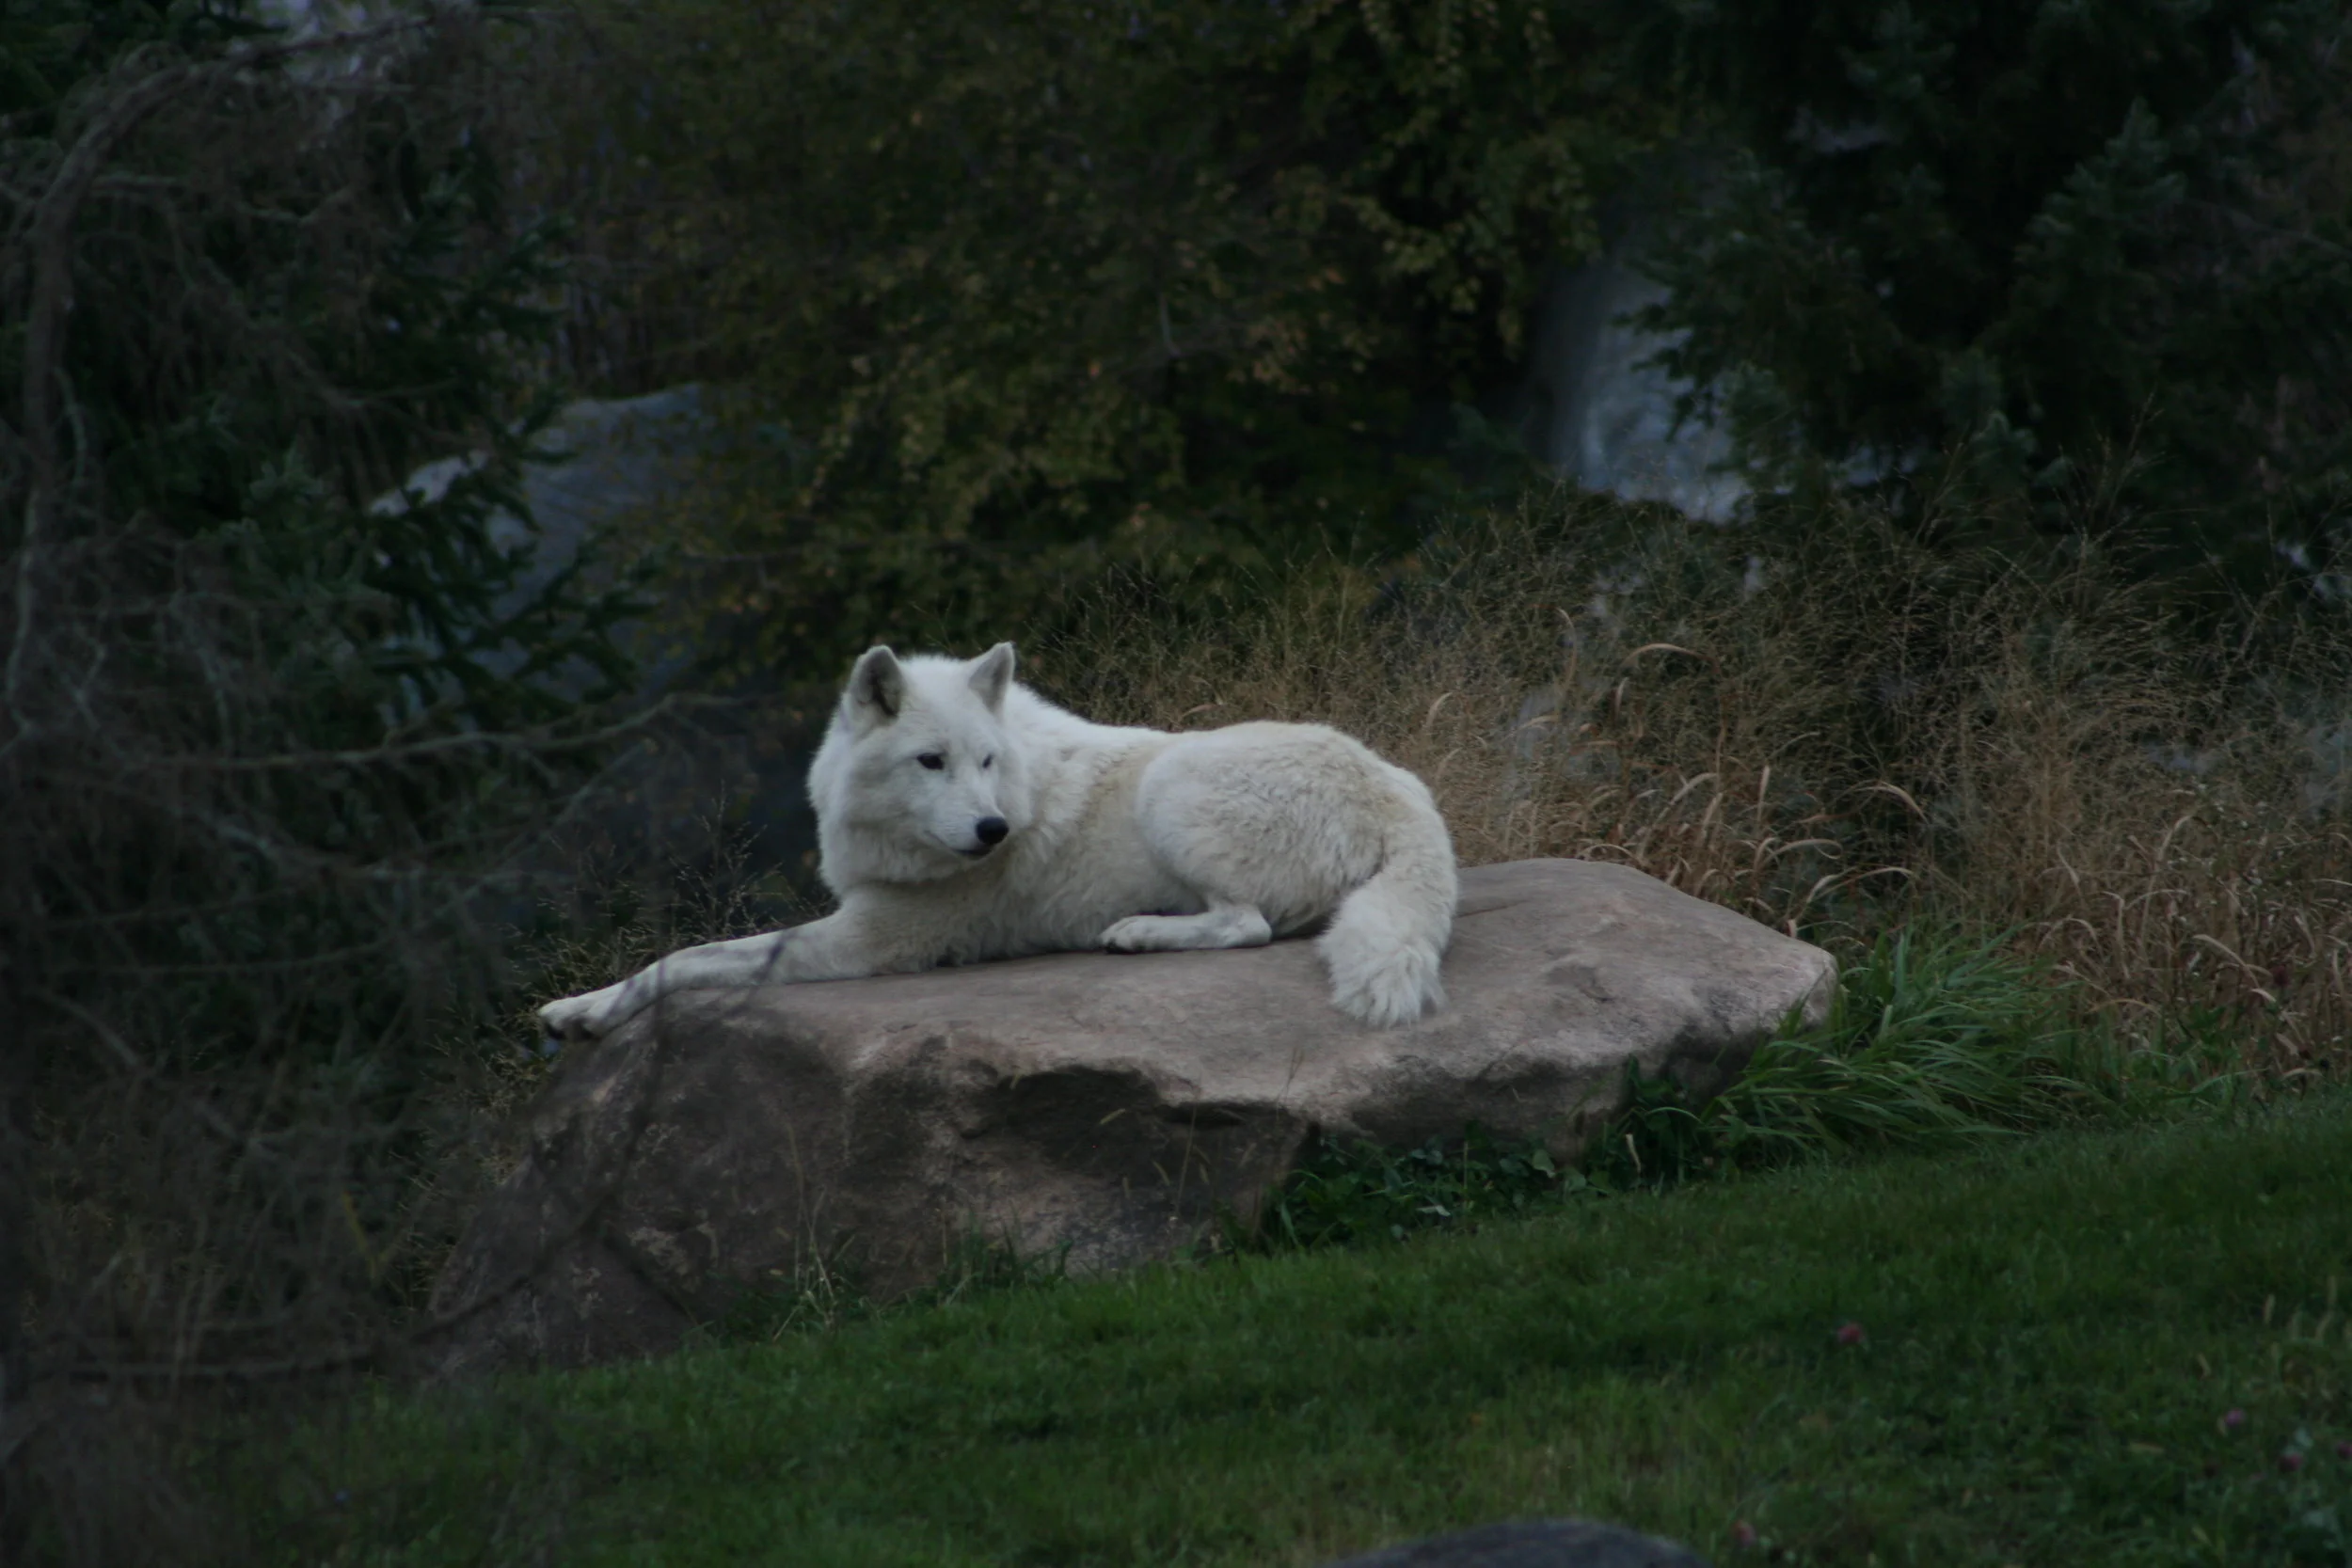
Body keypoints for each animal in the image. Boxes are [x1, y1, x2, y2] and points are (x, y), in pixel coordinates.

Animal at [536, 642, 1457, 1042]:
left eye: (983, 760)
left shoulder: (870, 939)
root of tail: (1405, 791)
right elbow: (682, 956)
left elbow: (688, 957)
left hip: (1172, 785)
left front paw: (596, 1011)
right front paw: (575, 1008)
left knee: (1248, 924)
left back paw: (1137, 933)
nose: (993, 830)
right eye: (932, 761)